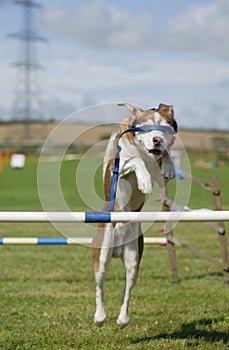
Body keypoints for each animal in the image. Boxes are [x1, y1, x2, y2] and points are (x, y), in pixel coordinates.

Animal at [91, 102, 177, 326]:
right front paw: (144, 181)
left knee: (127, 289)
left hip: (134, 258)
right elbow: (135, 161)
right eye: (146, 128)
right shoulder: (118, 165)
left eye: (164, 128)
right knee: (100, 285)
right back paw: (100, 316)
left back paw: (123, 318)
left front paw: (169, 165)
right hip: (102, 252)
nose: (157, 140)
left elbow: (163, 164)